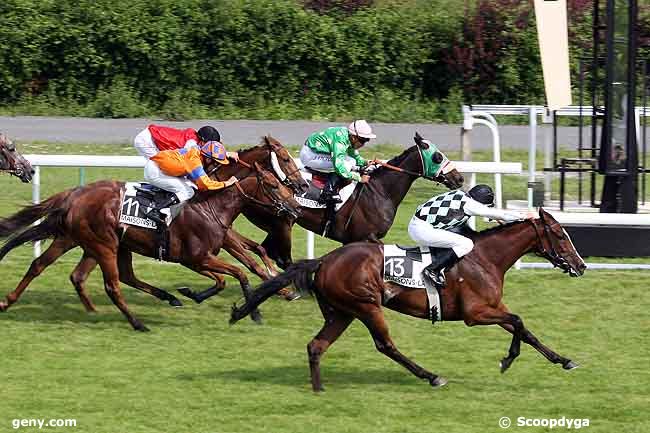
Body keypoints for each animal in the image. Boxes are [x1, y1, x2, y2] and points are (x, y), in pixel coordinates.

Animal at [230, 209, 584, 392]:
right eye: (560, 234)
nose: (580, 265)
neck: (486, 257)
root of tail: (324, 260)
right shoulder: (477, 313)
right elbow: (519, 322)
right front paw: (508, 359)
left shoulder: (492, 308)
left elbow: (525, 328)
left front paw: (564, 359)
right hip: (366, 305)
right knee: (386, 345)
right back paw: (431, 376)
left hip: (341, 313)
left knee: (316, 346)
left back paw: (319, 389)